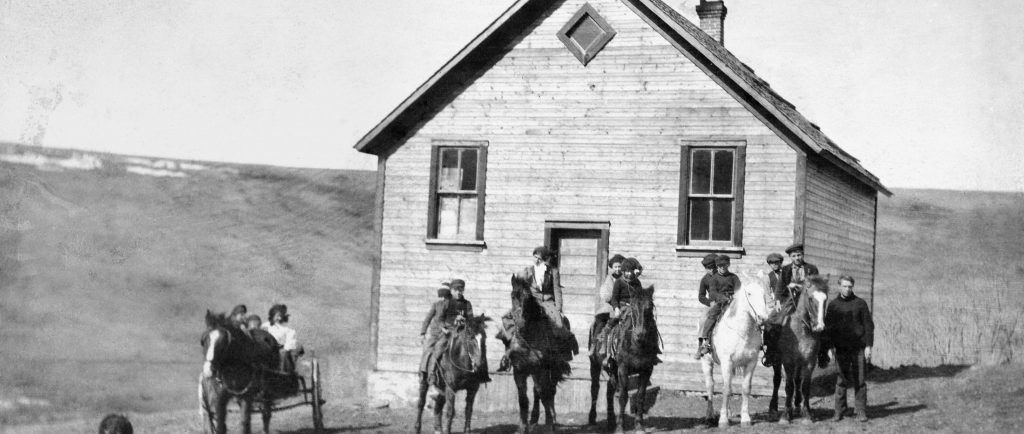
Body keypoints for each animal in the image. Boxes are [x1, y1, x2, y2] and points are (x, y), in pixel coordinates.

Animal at [505, 276, 577, 431]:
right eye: (513, 296)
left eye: (527, 297)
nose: (520, 322)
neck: (528, 337)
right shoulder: (519, 370)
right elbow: (523, 398)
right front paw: (522, 427)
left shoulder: (541, 370)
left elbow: (544, 394)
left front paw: (549, 424)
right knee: (537, 391)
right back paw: (533, 420)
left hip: (552, 371)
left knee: (548, 391)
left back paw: (551, 419)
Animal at [589, 284, 659, 429]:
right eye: (633, 307)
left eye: (649, 307)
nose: (640, 334)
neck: (636, 344)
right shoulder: (623, 369)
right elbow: (623, 396)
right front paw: (620, 427)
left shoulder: (647, 369)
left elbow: (640, 396)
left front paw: (639, 425)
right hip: (595, 364)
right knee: (595, 389)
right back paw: (592, 419)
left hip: (611, 369)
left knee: (609, 391)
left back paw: (611, 421)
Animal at [770, 276, 831, 425]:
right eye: (810, 298)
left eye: (825, 299)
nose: (819, 327)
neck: (800, 331)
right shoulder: (787, 361)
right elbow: (788, 386)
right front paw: (785, 415)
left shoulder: (810, 361)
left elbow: (805, 386)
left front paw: (807, 414)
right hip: (776, 360)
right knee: (777, 380)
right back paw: (773, 408)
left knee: (797, 380)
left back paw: (797, 406)